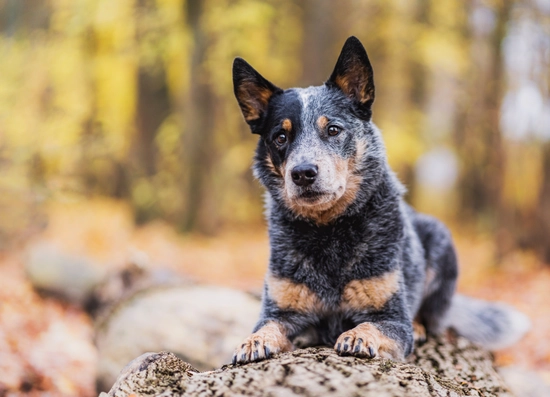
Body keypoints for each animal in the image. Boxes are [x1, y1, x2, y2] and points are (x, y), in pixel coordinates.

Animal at [230, 35, 532, 364]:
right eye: (280, 137)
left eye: (333, 129)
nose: (303, 173)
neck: (328, 231)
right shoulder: (281, 310)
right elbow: (268, 326)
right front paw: (252, 341)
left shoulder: (391, 317)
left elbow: (371, 325)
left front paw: (357, 336)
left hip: (440, 240)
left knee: (432, 318)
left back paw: (422, 325)